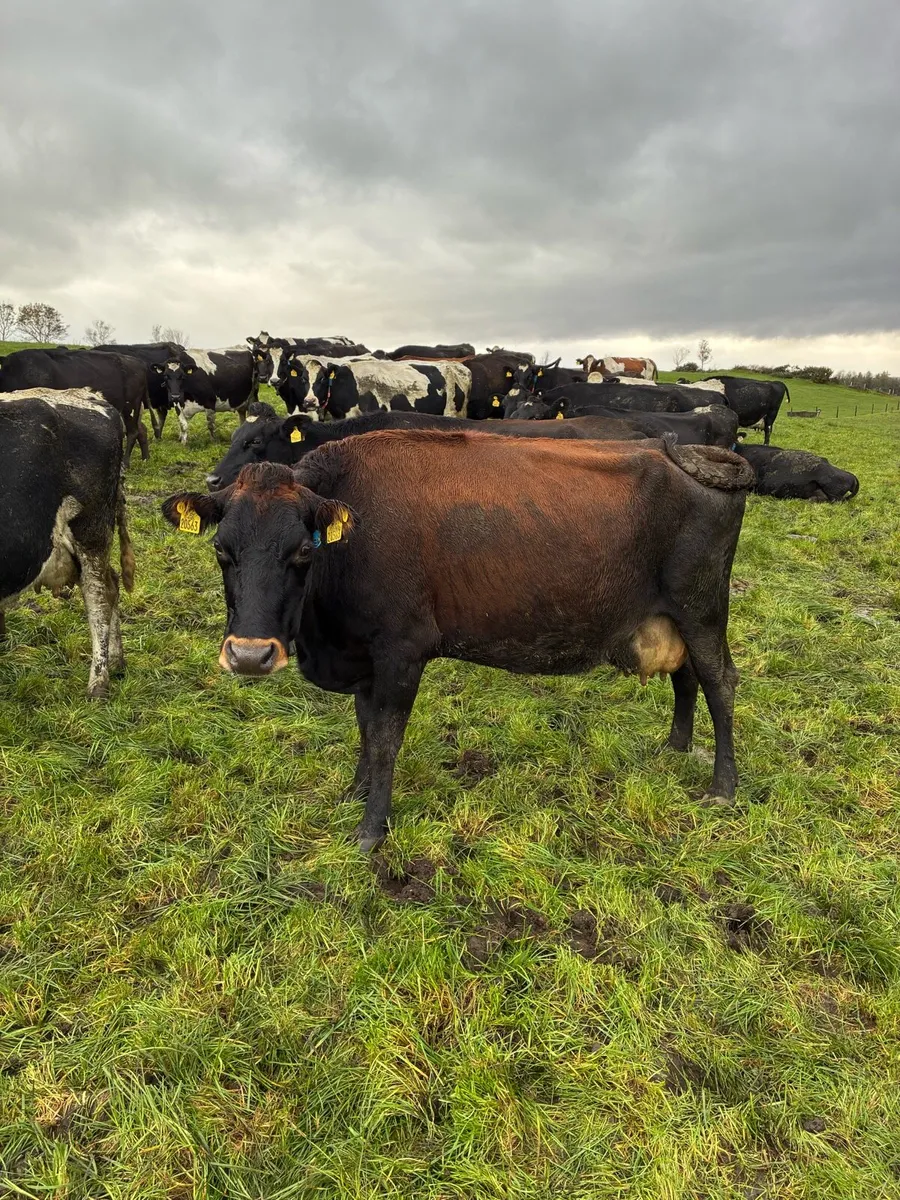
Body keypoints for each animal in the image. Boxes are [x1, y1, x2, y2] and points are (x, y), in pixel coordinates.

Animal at [0, 347, 151, 466]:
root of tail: (139, 362)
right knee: (140, 430)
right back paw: (145, 458)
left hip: (131, 406)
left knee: (133, 432)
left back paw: (126, 462)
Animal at [0, 388, 134, 697]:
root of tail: (88, 395)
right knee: (112, 582)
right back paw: (116, 661)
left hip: (92, 530)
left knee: (99, 596)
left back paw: (98, 682)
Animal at [164, 430, 754, 849]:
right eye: (221, 549)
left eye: (303, 550)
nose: (250, 655)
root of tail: (687, 452)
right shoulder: (366, 655)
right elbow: (364, 729)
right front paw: (355, 792)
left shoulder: (402, 651)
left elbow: (385, 739)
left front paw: (371, 831)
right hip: (672, 617)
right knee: (687, 677)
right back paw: (675, 746)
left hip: (702, 610)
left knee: (720, 682)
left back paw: (722, 787)